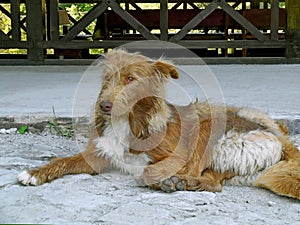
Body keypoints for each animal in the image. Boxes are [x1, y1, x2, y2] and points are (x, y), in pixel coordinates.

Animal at [18, 50, 300, 200]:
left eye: (131, 79)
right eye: (108, 79)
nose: (104, 106)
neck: (129, 121)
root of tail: (277, 136)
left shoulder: (177, 154)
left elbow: (147, 171)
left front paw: (162, 179)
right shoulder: (98, 155)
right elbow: (62, 161)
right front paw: (34, 173)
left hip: (208, 128)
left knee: (210, 181)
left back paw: (181, 182)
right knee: (213, 180)